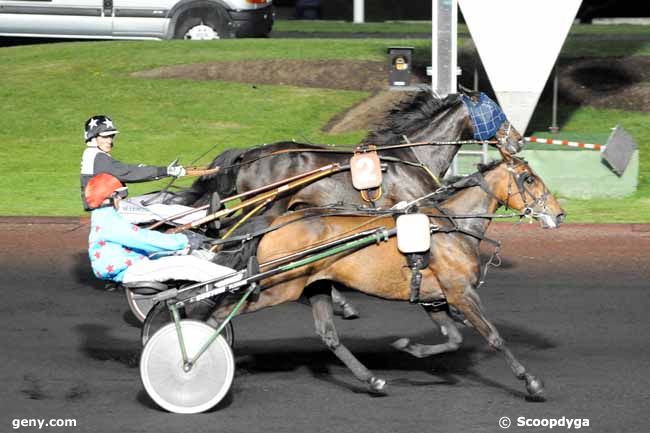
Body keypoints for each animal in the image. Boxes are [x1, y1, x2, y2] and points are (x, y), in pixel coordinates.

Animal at [206, 155, 560, 398]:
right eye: (528, 178)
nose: (558, 214)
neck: (449, 228)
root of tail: (276, 222)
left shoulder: (434, 300)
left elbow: (454, 339)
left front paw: (410, 348)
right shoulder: (461, 293)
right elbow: (494, 337)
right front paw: (530, 381)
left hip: (316, 284)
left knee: (329, 335)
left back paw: (371, 379)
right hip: (276, 287)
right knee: (220, 314)